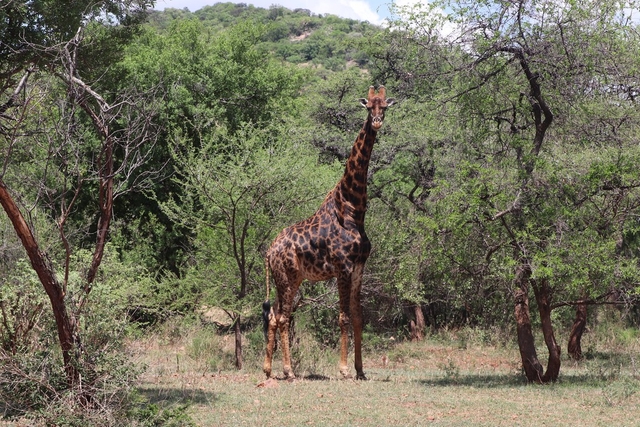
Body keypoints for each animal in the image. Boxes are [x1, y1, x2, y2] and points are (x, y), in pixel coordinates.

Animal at [262, 85, 392, 380]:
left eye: (385, 107)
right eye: (368, 107)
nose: (377, 122)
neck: (353, 208)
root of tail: (269, 252)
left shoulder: (359, 267)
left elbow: (358, 317)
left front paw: (360, 370)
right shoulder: (343, 267)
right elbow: (343, 317)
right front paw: (343, 370)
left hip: (290, 278)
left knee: (274, 316)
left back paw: (267, 369)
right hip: (285, 278)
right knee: (283, 317)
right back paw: (288, 371)